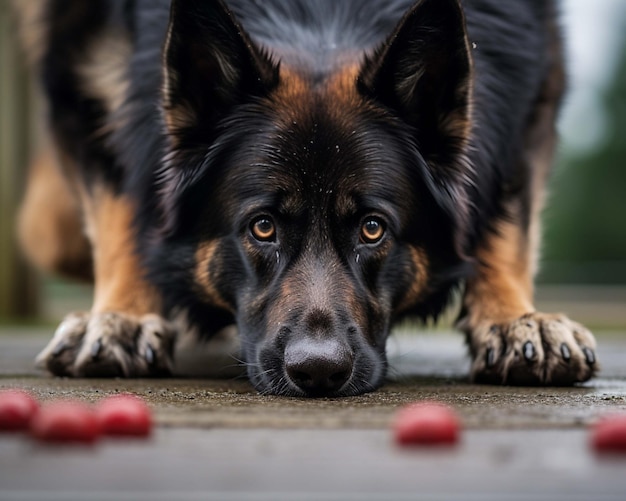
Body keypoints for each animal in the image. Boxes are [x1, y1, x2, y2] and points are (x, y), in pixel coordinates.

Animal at [13, 0, 596, 396]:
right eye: (263, 226)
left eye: (372, 227)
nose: (318, 371)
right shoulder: (79, 59)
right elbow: (120, 206)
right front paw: (122, 316)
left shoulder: (532, 73)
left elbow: (508, 217)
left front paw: (513, 317)